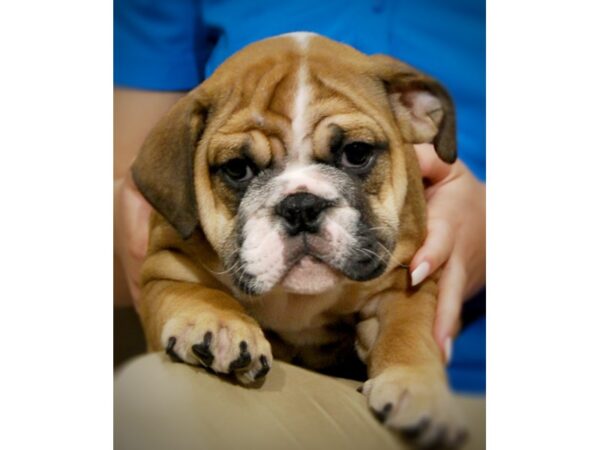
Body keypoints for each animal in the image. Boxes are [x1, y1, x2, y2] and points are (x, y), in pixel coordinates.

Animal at [132, 33, 464, 448]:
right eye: (237, 169)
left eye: (356, 153)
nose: (301, 205)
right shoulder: (165, 264)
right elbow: (192, 291)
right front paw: (218, 324)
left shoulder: (405, 278)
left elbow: (408, 328)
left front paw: (417, 385)